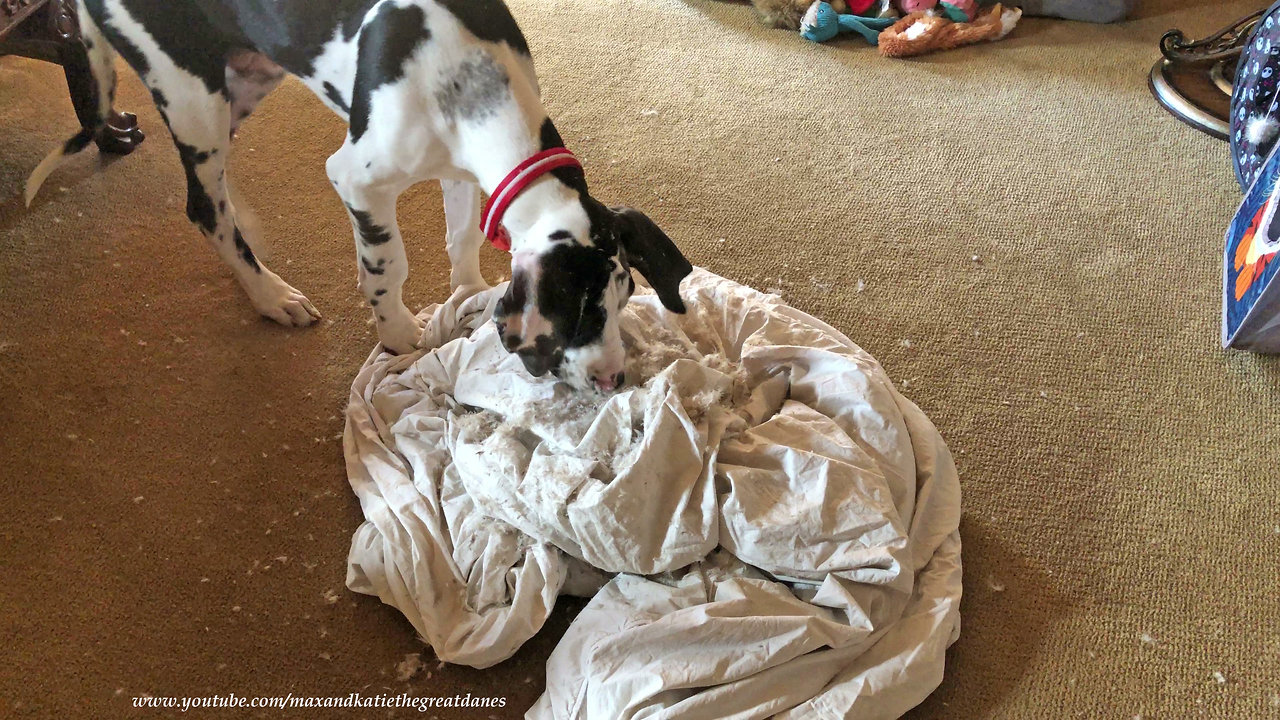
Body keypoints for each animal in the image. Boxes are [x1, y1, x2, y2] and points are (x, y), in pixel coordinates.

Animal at [30, 0, 691, 389]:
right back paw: (270, 294)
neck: (466, 75)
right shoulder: (355, 179)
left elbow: (461, 238)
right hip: (192, 94)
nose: (614, 380)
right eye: (582, 315)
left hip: (246, 77)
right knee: (203, 206)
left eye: (624, 300)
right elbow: (386, 264)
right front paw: (397, 334)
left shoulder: (463, 170)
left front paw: (469, 294)